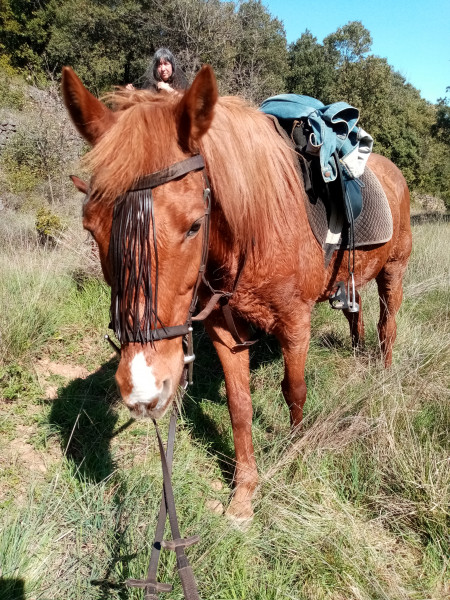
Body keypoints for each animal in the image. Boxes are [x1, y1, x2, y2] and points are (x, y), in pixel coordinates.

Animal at [62, 65, 412, 524]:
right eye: (91, 226)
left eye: (195, 225)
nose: (143, 390)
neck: (257, 228)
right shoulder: (224, 331)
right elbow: (239, 406)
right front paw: (245, 491)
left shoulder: (295, 324)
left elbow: (294, 391)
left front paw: (295, 453)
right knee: (356, 315)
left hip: (394, 270)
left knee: (387, 326)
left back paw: (384, 376)